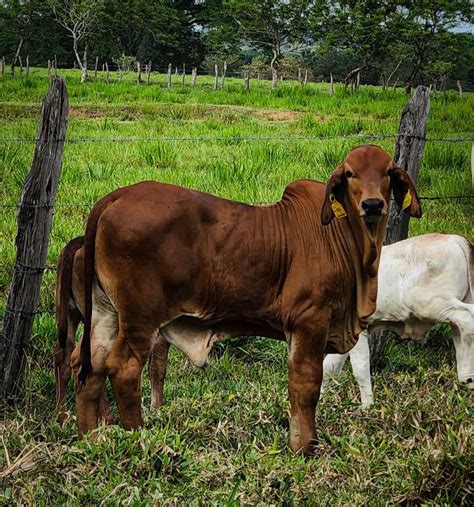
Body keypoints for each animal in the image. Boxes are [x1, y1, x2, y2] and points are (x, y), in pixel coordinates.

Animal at [72, 145, 420, 454]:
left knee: (90, 366)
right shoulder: (310, 320)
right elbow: (306, 385)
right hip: (140, 318)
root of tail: (116, 197)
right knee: (123, 368)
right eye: (349, 173)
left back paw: (91, 439)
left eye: (388, 172)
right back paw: (137, 438)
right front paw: (305, 448)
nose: (373, 205)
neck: (347, 240)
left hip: (106, 313)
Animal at [322, 234, 474, 408]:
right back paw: (467, 377)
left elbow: (360, 368)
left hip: (434, 304)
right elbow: (329, 368)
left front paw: (368, 407)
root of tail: (453, 238)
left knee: (467, 318)